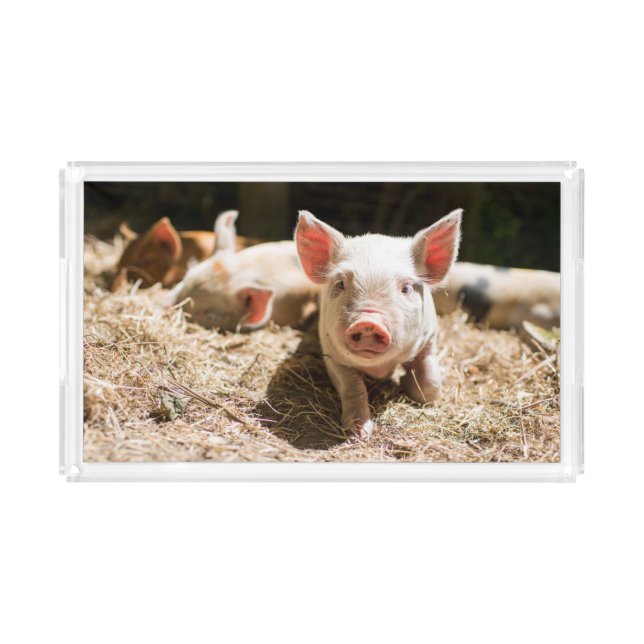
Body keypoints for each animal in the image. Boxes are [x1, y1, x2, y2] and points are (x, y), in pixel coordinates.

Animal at [295, 209, 462, 438]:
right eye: (340, 283)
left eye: (406, 288)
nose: (368, 322)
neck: (379, 368)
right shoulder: (331, 353)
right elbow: (353, 386)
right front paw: (358, 433)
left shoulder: (429, 338)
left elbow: (430, 385)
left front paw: (411, 387)